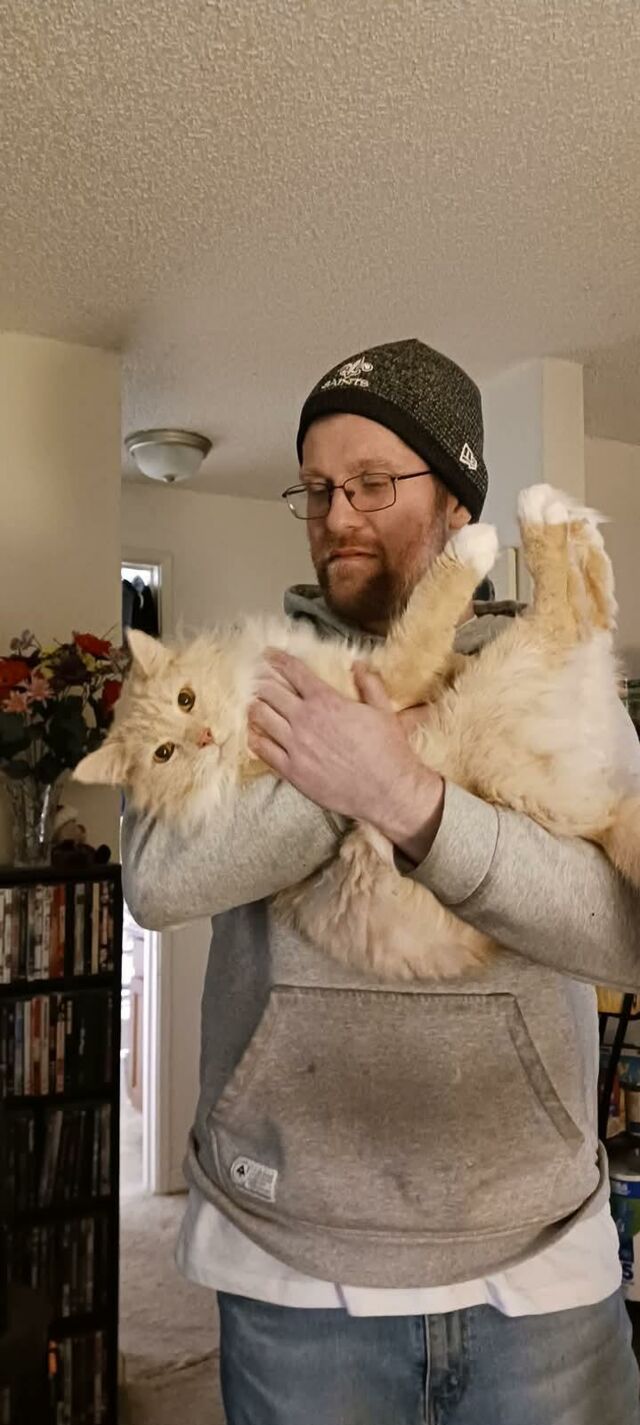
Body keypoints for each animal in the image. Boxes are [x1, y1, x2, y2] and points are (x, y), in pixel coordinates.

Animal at [74, 483, 640, 981]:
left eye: (185, 699)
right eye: (165, 753)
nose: (206, 738)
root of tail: (604, 812)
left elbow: (445, 652)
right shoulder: (388, 677)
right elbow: (425, 616)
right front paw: (471, 547)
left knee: (595, 607)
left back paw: (572, 524)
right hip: (498, 693)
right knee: (566, 613)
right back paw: (535, 513)